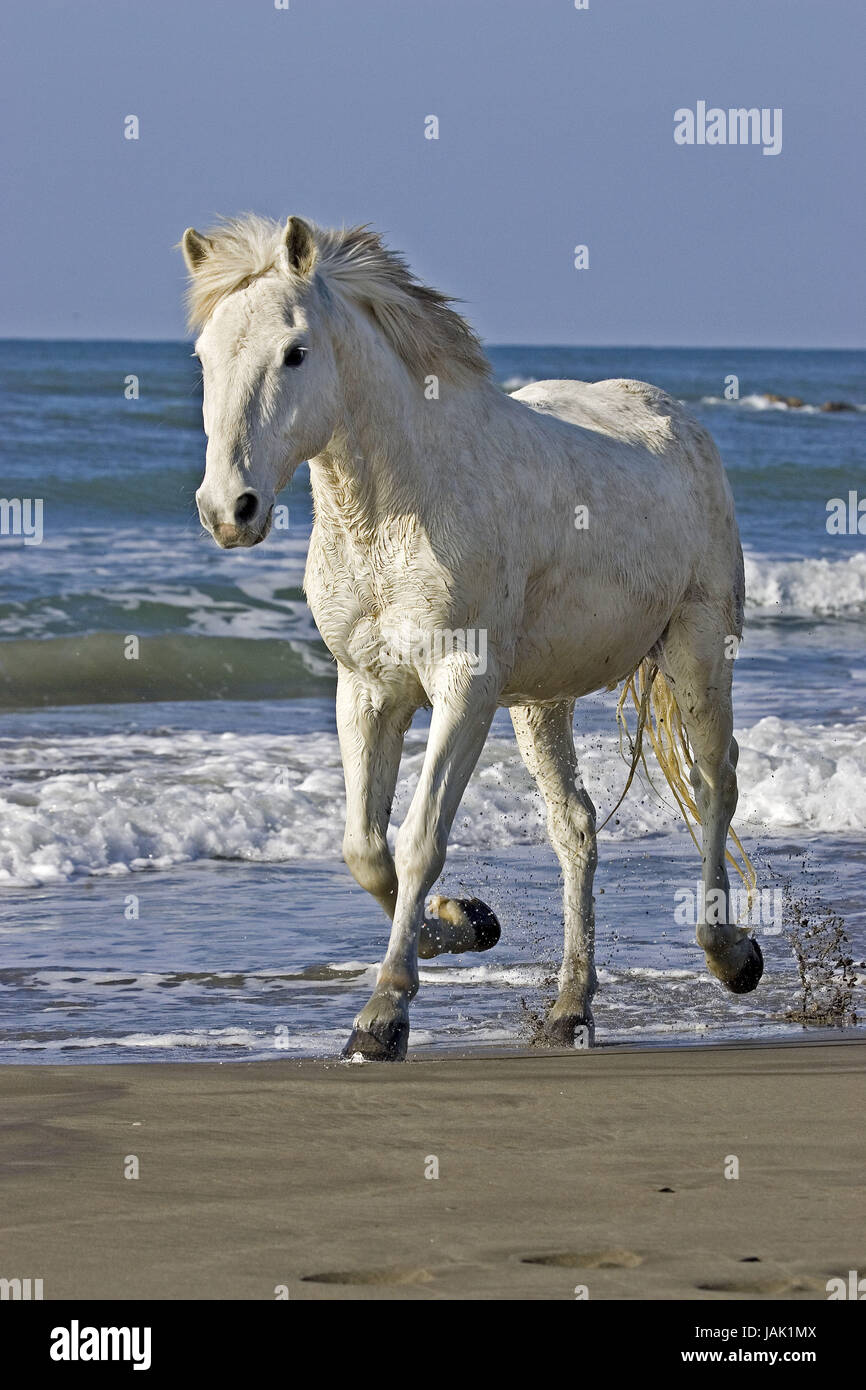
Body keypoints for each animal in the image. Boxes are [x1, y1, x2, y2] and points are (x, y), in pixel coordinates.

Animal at [179, 216, 761, 1056]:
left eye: (295, 352)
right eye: (204, 357)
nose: (231, 509)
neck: (395, 509)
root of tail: (677, 419)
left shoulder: (465, 688)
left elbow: (419, 837)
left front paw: (383, 1015)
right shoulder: (368, 690)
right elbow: (365, 848)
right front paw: (465, 923)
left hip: (697, 650)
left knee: (716, 786)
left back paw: (731, 955)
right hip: (542, 701)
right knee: (575, 828)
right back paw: (569, 1008)